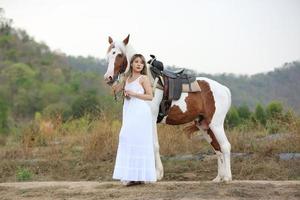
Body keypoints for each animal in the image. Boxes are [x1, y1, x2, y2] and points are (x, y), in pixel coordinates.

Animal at [104, 34, 233, 183]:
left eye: (119, 55)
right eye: (108, 55)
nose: (108, 77)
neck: (149, 81)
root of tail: (223, 88)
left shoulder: (151, 118)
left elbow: (154, 145)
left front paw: (157, 174)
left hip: (216, 124)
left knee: (225, 146)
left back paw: (227, 177)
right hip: (204, 125)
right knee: (217, 149)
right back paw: (219, 178)